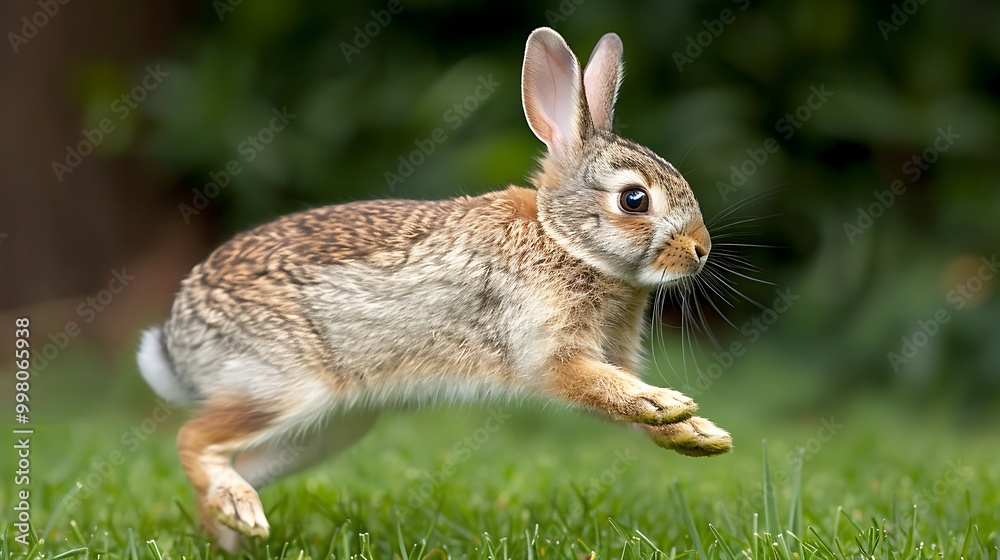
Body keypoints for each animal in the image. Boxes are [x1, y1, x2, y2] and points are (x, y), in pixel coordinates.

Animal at [137, 27, 732, 552]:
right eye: (634, 200)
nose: (701, 249)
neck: (562, 238)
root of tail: (176, 344)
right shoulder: (547, 352)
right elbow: (601, 388)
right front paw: (668, 403)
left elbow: (623, 404)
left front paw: (697, 433)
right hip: (284, 388)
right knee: (193, 441)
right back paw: (237, 509)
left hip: (323, 429)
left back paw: (235, 530)